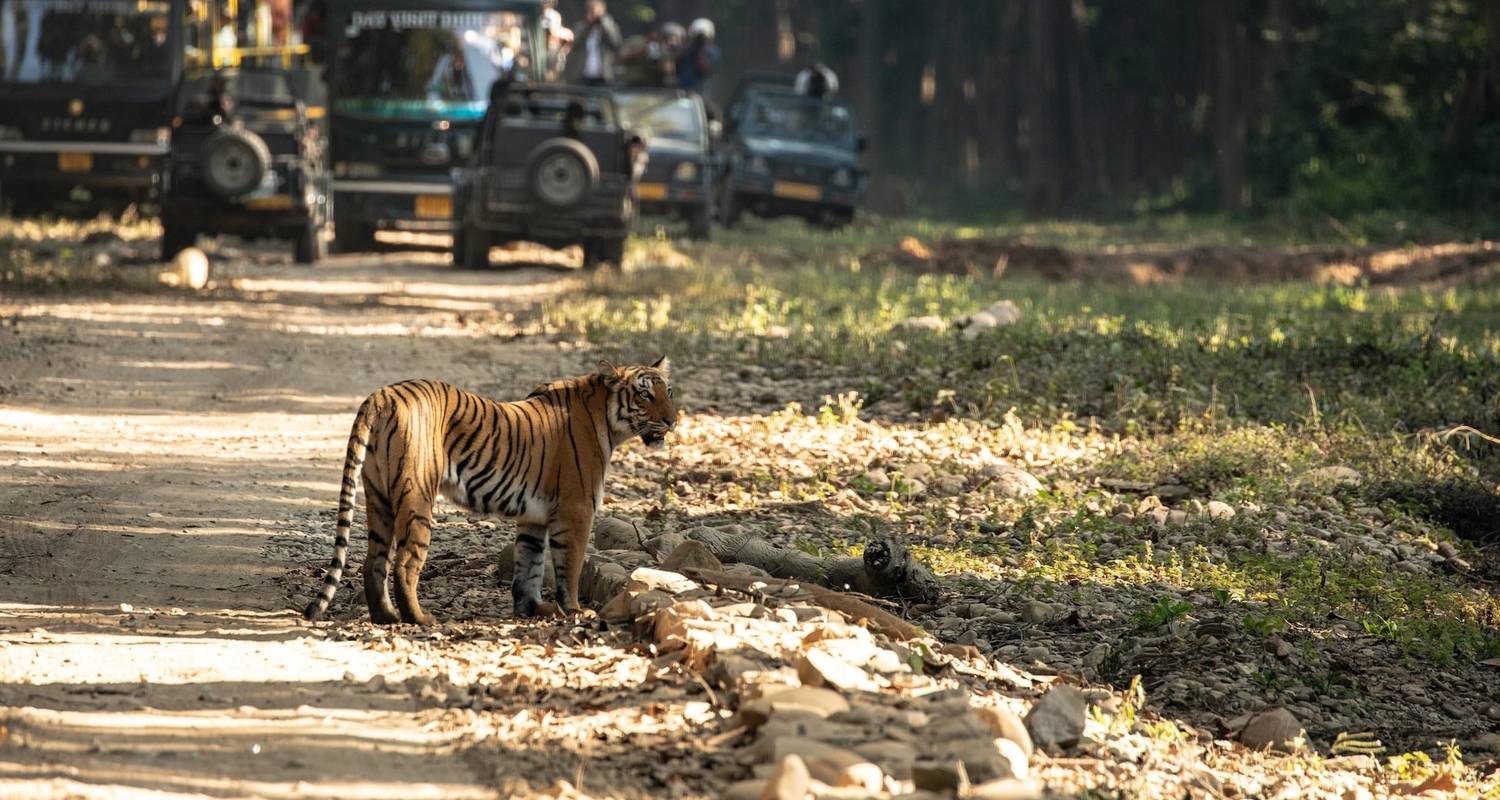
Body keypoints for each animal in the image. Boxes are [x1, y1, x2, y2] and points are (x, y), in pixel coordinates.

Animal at [301, 358, 678, 627]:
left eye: (669, 392)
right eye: (645, 394)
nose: (672, 421)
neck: (607, 419)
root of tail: (380, 395)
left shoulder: (534, 517)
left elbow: (529, 564)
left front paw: (533, 609)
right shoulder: (577, 509)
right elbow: (569, 565)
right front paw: (573, 610)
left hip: (378, 496)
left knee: (373, 562)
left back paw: (386, 617)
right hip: (416, 496)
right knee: (405, 563)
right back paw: (420, 619)